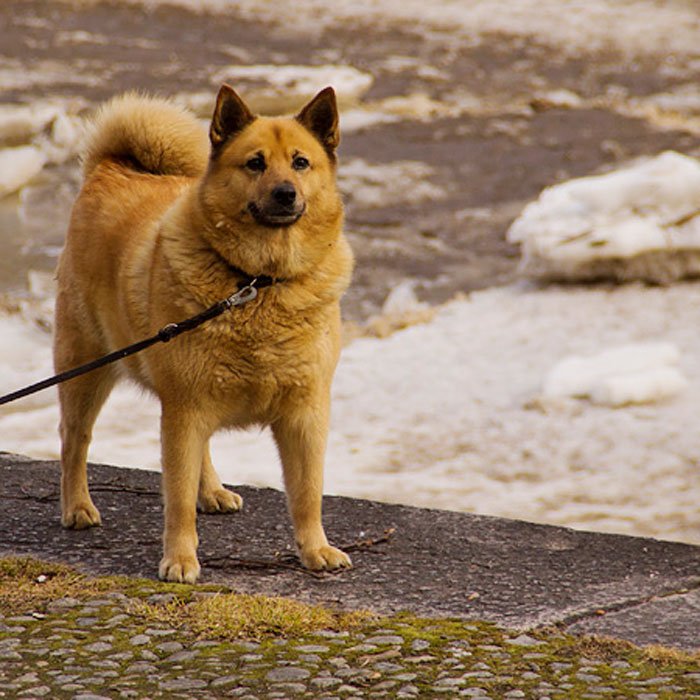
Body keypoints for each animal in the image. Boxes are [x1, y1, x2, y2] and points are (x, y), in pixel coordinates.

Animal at [53, 82, 356, 584]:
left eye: (300, 162)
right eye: (255, 163)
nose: (285, 193)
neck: (257, 282)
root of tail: (111, 167)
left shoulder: (305, 414)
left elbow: (308, 492)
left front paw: (316, 549)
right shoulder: (183, 410)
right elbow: (176, 499)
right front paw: (179, 558)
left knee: (203, 449)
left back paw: (211, 491)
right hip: (85, 368)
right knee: (74, 439)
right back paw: (77, 505)